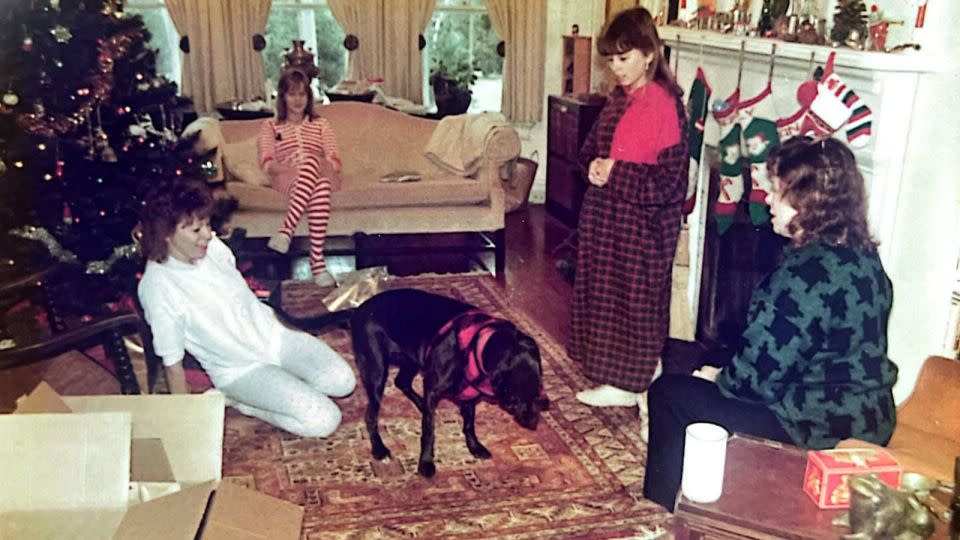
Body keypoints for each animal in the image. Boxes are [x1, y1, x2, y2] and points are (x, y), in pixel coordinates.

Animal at [350, 288, 548, 474]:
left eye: (538, 390)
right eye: (515, 397)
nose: (533, 422)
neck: (477, 342)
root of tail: (358, 310)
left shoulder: (468, 396)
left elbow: (469, 425)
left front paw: (474, 447)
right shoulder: (433, 388)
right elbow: (429, 431)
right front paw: (426, 463)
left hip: (411, 360)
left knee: (402, 382)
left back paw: (421, 405)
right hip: (377, 372)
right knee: (371, 415)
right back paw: (379, 449)